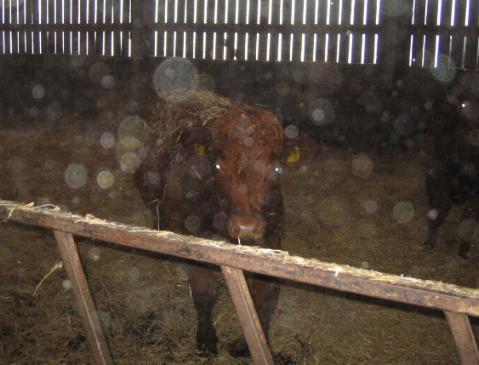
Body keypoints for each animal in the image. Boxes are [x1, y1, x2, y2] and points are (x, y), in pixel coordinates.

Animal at [134, 91, 284, 356]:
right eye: (218, 166)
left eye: (275, 169)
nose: (246, 227)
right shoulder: (187, 233)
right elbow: (204, 291)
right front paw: (206, 338)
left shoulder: (274, 234)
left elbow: (266, 295)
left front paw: (252, 343)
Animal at [426, 95, 478, 258]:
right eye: (463, 105)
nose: (475, 134)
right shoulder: (439, 179)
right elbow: (438, 210)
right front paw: (430, 242)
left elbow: (468, 222)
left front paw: (464, 252)